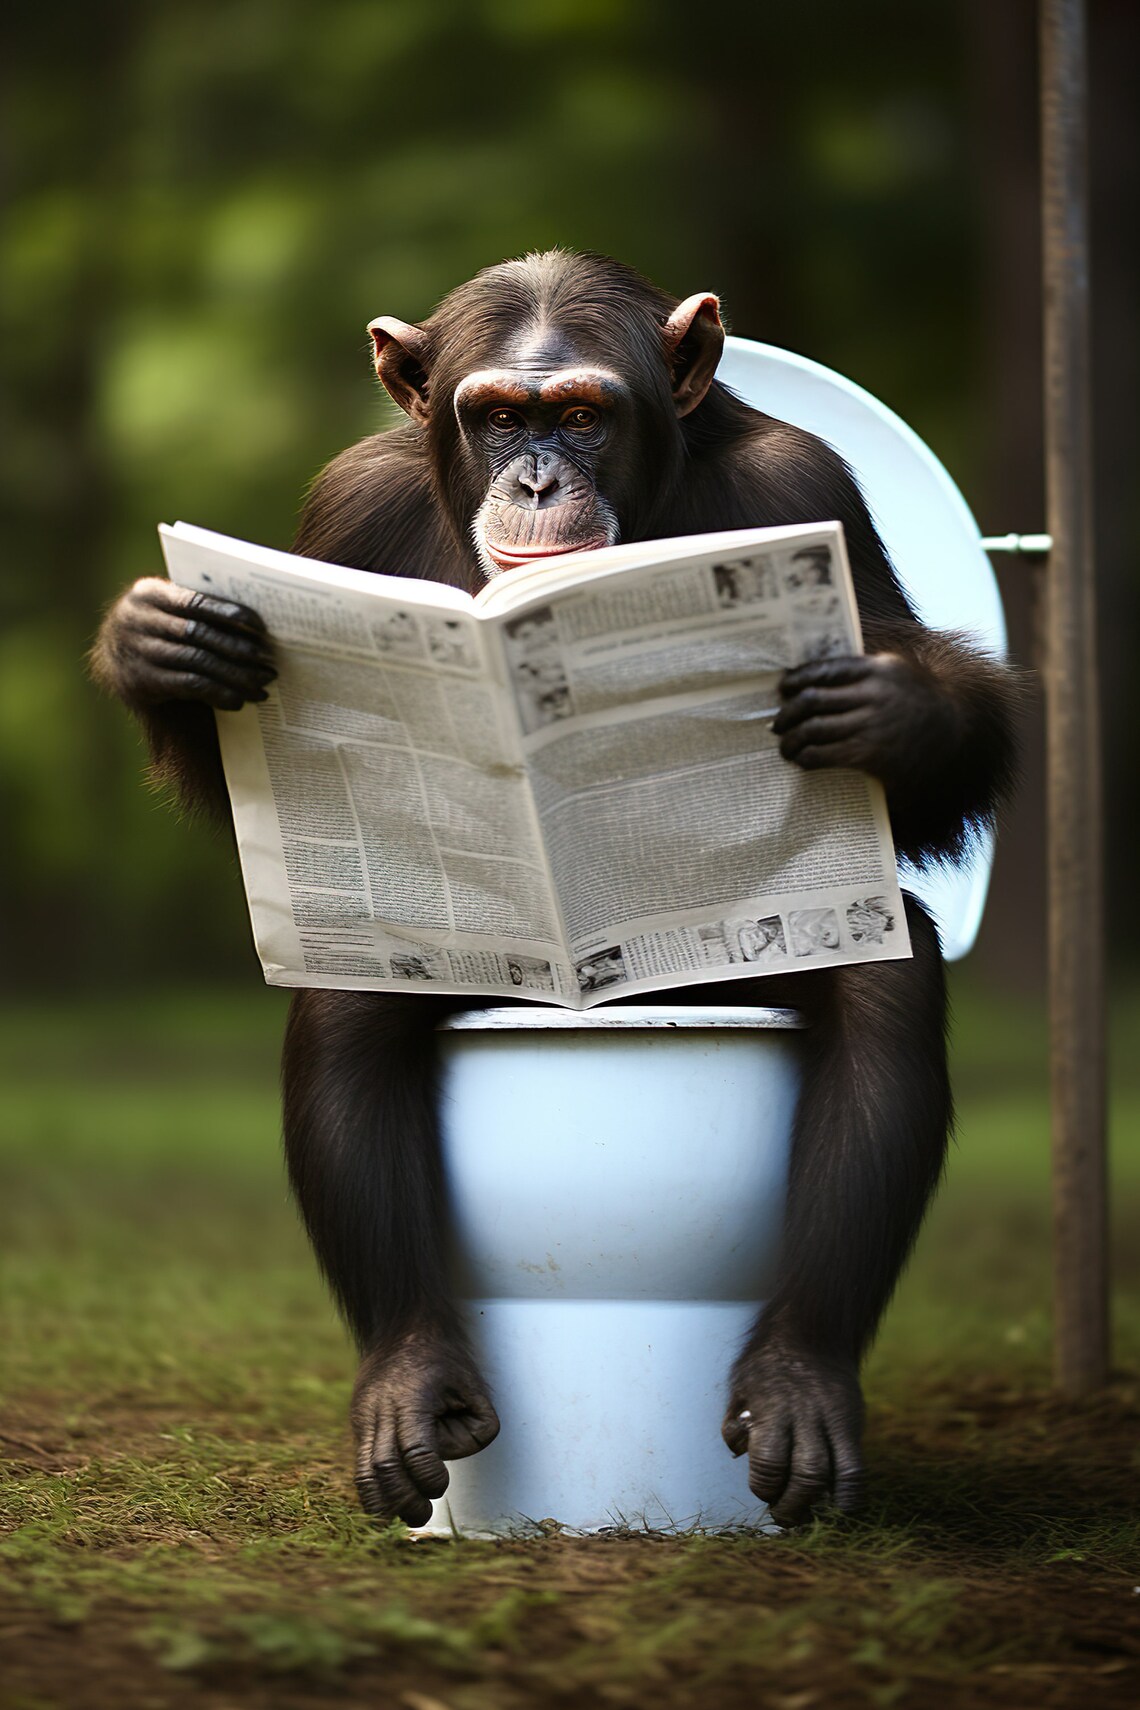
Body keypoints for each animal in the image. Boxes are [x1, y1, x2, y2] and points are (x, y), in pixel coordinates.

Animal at [91, 251, 1017, 1528]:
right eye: (494, 418)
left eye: (580, 416)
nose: (534, 478)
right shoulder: (345, 509)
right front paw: (168, 644)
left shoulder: (806, 484)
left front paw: (889, 702)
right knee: (353, 997)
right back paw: (413, 1378)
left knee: (886, 978)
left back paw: (801, 1382)